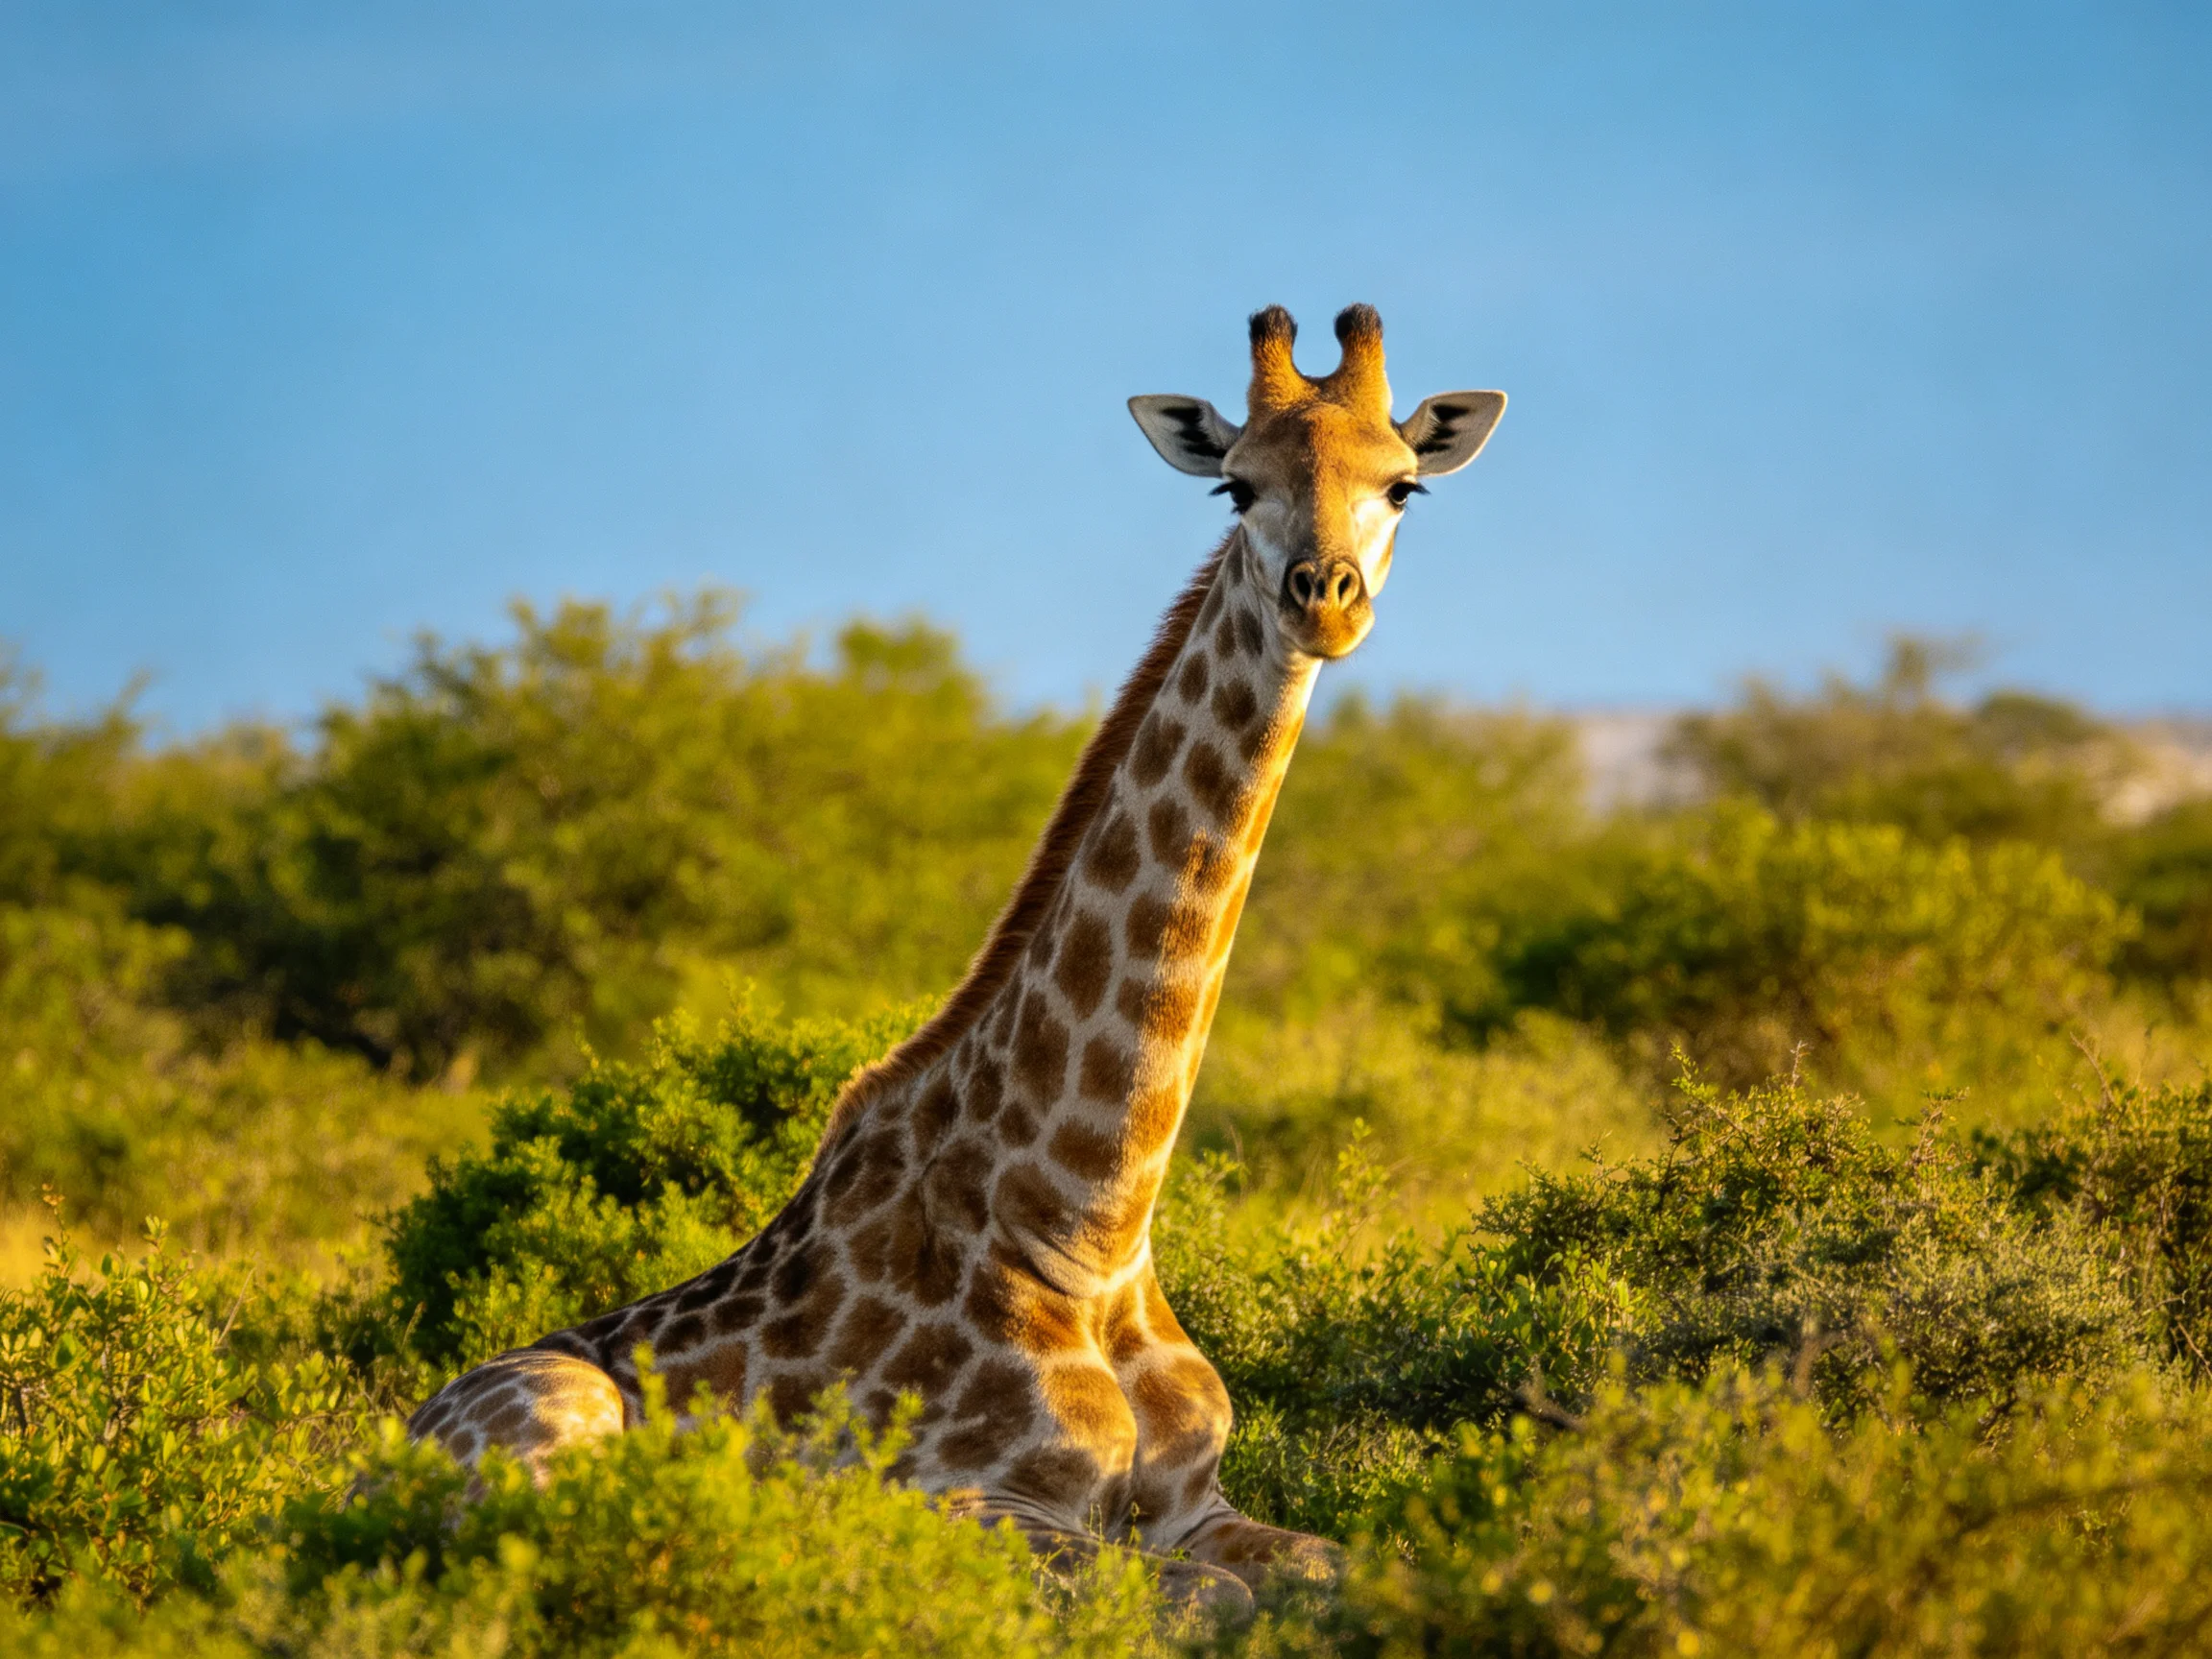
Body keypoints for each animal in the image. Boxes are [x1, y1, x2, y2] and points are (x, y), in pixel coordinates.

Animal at [404, 304, 1506, 1607]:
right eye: (1234, 488)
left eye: (1402, 485)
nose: (1322, 598)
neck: (1089, 1225)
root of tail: (381, 1445)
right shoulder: (965, 1499)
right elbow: (1213, 1602)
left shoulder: (1201, 1502)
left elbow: (1359, 1566)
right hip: (550, 1425)